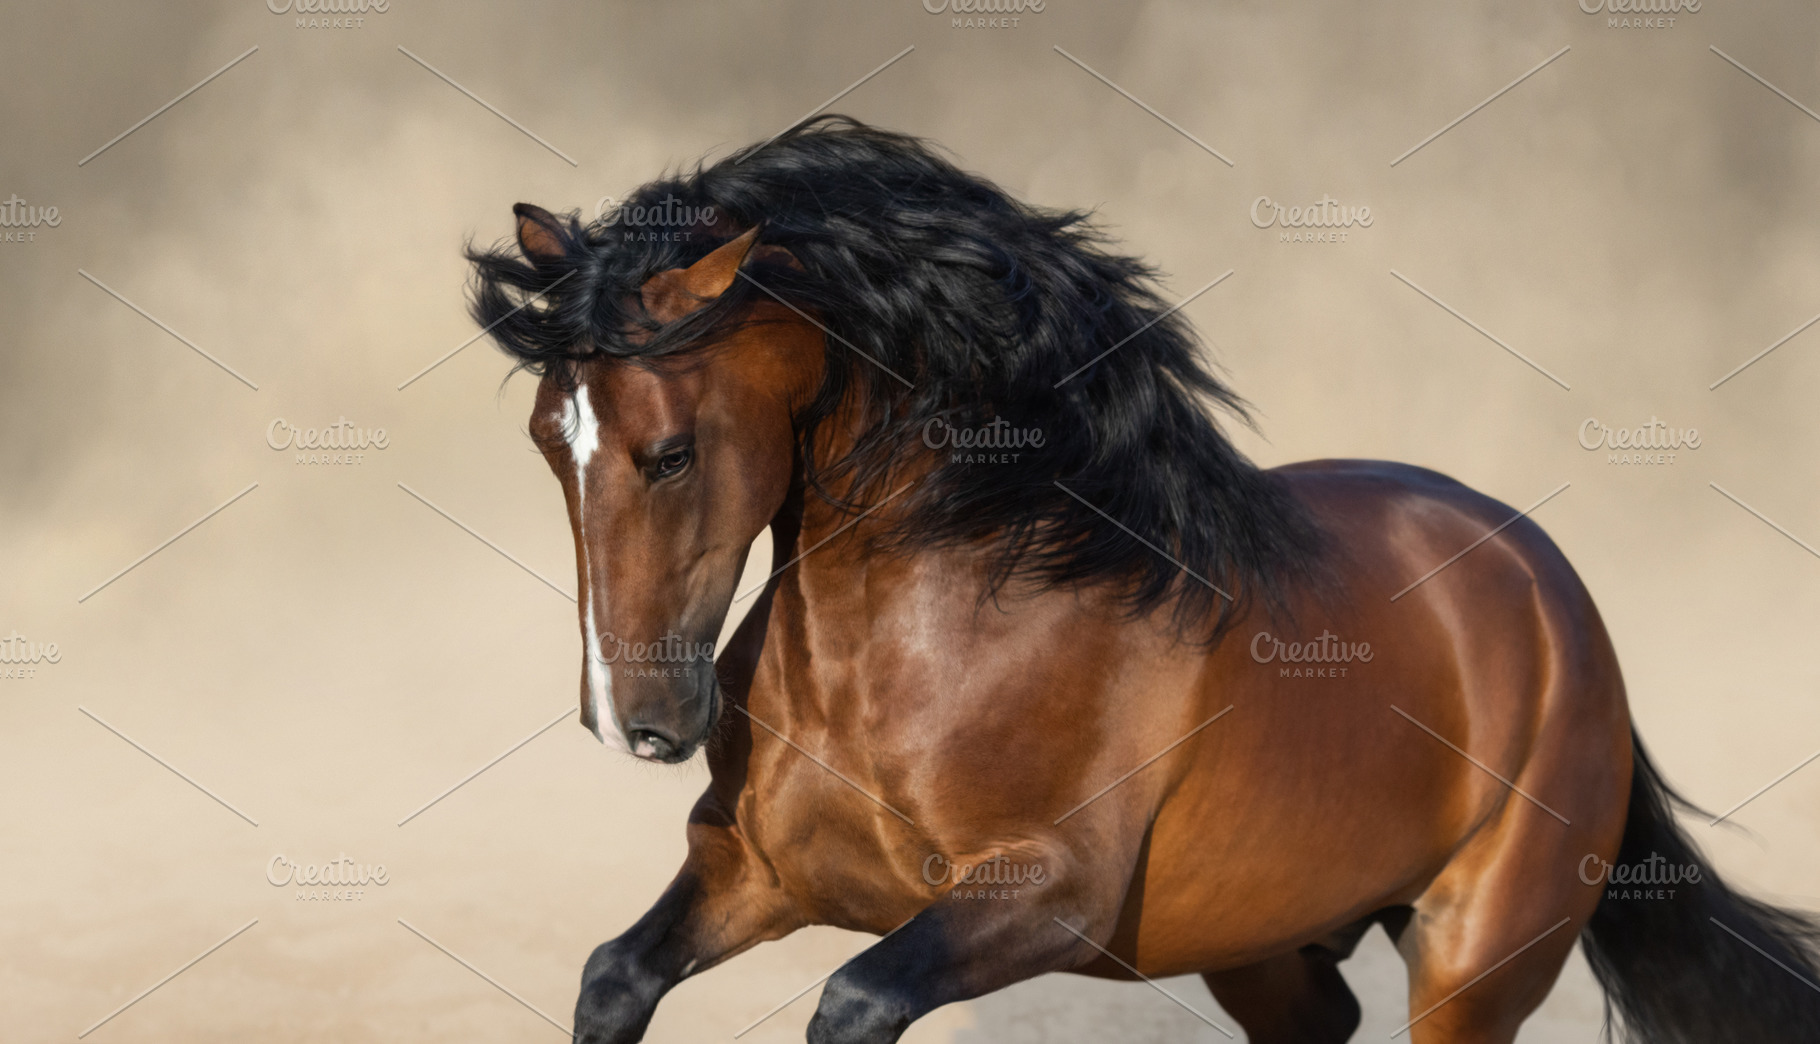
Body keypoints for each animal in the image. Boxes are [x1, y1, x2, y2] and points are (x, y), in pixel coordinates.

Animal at [466, 117, 1820, 1043]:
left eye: (670, 452)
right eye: (544, 438)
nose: (635, 721)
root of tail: (1554, 600)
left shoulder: (1038, 898)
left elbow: (850, 1000)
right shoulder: (751, 873)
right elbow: (613, 976)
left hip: (1471, 960)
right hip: (1263, 941)